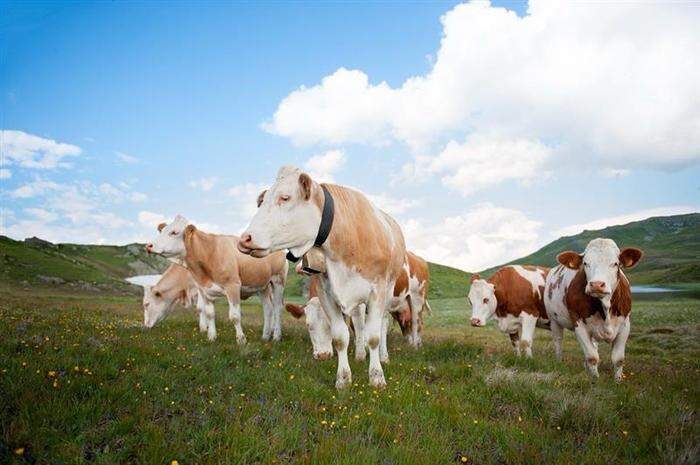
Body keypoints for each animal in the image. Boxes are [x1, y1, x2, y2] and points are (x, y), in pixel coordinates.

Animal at [145, 216, 288, 342]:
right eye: (162, 231)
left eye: (174, 232)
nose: (149, 245)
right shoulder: (204, 288)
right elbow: (209, 313)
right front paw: (211, 337)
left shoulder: (232, 286)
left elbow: (234, 316)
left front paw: (241, 340)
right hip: (262, 285)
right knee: (268, 308)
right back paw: (265, 336)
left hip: (278, 280)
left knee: (277, 308)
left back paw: (276, 336)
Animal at [239, 165, 404, 390]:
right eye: (261, 202)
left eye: (285, 197)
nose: (244, 239)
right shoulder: (327, 292)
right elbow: (341, 337)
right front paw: (343, 379)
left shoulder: (377, 290)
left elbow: (374, 336)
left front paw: (377, 377)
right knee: (359, 321)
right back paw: (360, 354)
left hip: (388, 290)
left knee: (382, 323)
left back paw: (383, 356)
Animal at [544, 237, 644, 378]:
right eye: (585, 263)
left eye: (615, 263)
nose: (596, 284)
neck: (605, 307)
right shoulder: (578, 322)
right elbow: (592, 356)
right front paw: (595, 379)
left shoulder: (625, 324)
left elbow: (618, 359)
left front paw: (618, 380)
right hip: (554, 320)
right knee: (558, 341)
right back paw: (559, 361)